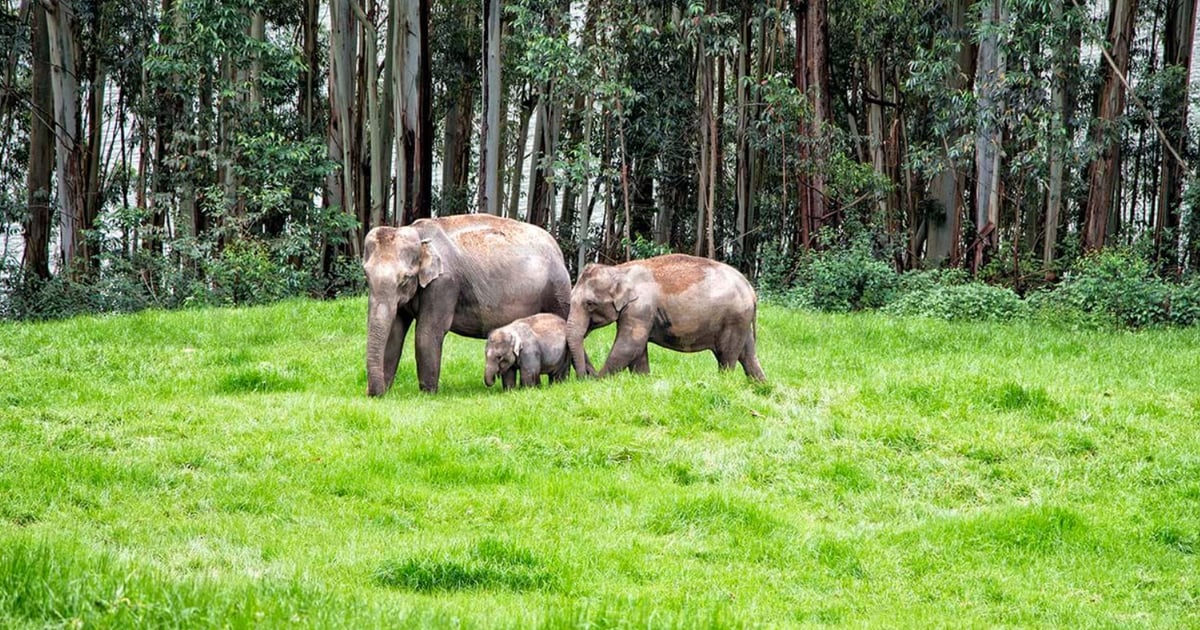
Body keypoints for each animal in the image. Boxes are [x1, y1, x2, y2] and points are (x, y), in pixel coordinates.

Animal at [360, 213, 571, 396]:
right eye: (366, 275)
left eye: (405, 279)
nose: (371, 393)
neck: (418, 234)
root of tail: (557, 248)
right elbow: (395, 333)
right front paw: (385, 391)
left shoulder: (444, 283)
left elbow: (428, 332)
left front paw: (427, 394)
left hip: (558, 288)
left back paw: (562, 382)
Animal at [564, 253, 768, 381]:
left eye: (589, 304)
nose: (584, 377)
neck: (619, 270)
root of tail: (750, 290)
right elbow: (638, 351)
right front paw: (643, 381)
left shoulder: (640, 308)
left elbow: (629, 345)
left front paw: (599, 381)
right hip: (742, 320)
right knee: (747, 355)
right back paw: (761, 386)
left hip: (734, 319)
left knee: (727, 357)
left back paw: (723, 383)